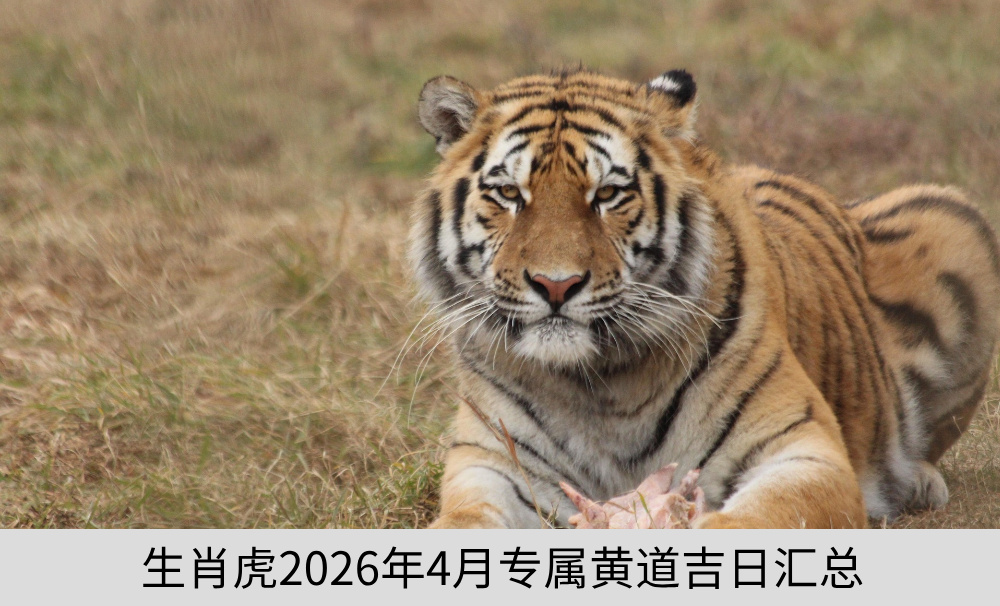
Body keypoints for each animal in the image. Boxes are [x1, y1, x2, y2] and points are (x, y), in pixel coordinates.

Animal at [408, 68, 1000, 528]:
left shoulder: (803, 451)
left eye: (608, 194)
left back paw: (919, 482)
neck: (596, 384)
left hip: (957, 222)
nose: (557, 284)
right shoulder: (489, 465)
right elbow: (461, 526)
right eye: (509, 194)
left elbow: (755, 520)